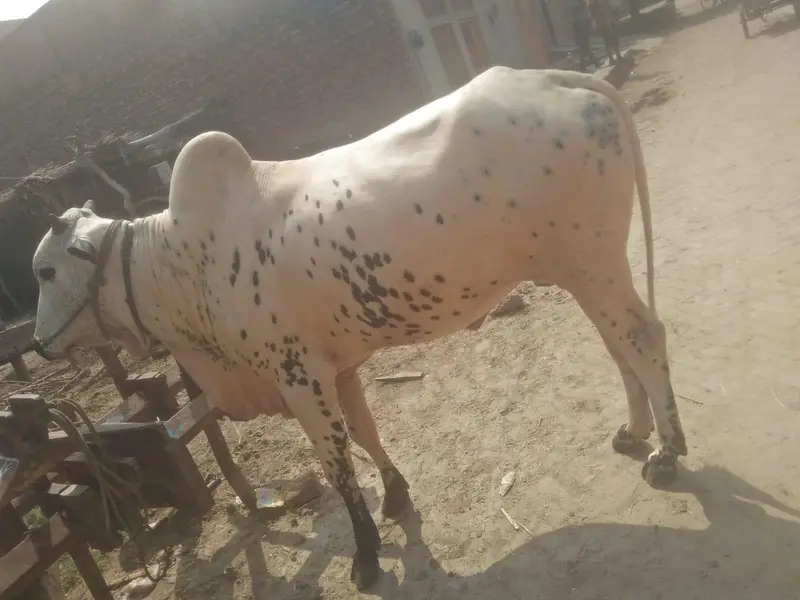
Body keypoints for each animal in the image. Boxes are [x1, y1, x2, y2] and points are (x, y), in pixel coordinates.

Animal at [31, 66, 687, 590]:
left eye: (45, 271)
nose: (39, 345)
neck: (181, 260)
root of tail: (557, 78)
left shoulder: (298, 377)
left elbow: (338, 466)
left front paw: (367, 555)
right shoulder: (338, 367)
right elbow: (367, 432)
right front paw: (396, 493)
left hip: (592, 261)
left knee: (643, 337)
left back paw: (669, 452)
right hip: (580, 269)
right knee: (618, 343)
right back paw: (635, 432)